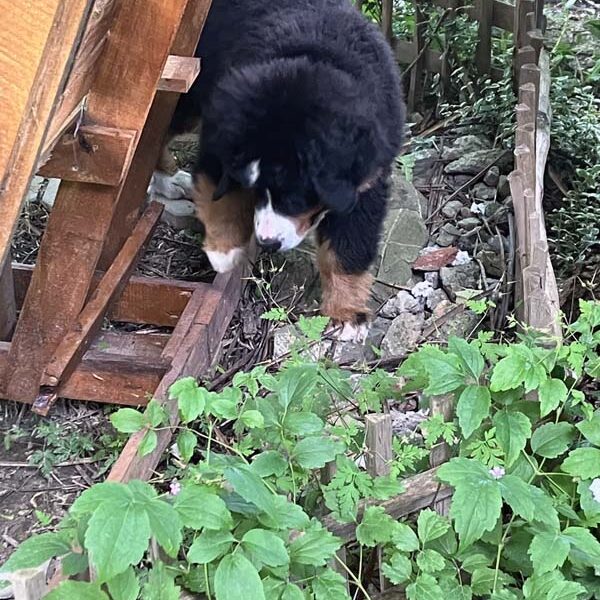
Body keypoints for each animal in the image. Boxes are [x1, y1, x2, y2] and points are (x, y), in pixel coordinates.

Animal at [148, 0, 406, 342]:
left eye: (295, 199)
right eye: (255, 189)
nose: (267, 242)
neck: (313, 59)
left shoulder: (367, 181)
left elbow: (349, 246)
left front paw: (347, 314)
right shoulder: (221, 137)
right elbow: (221, 197)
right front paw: (224, 252)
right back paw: (164, 179)